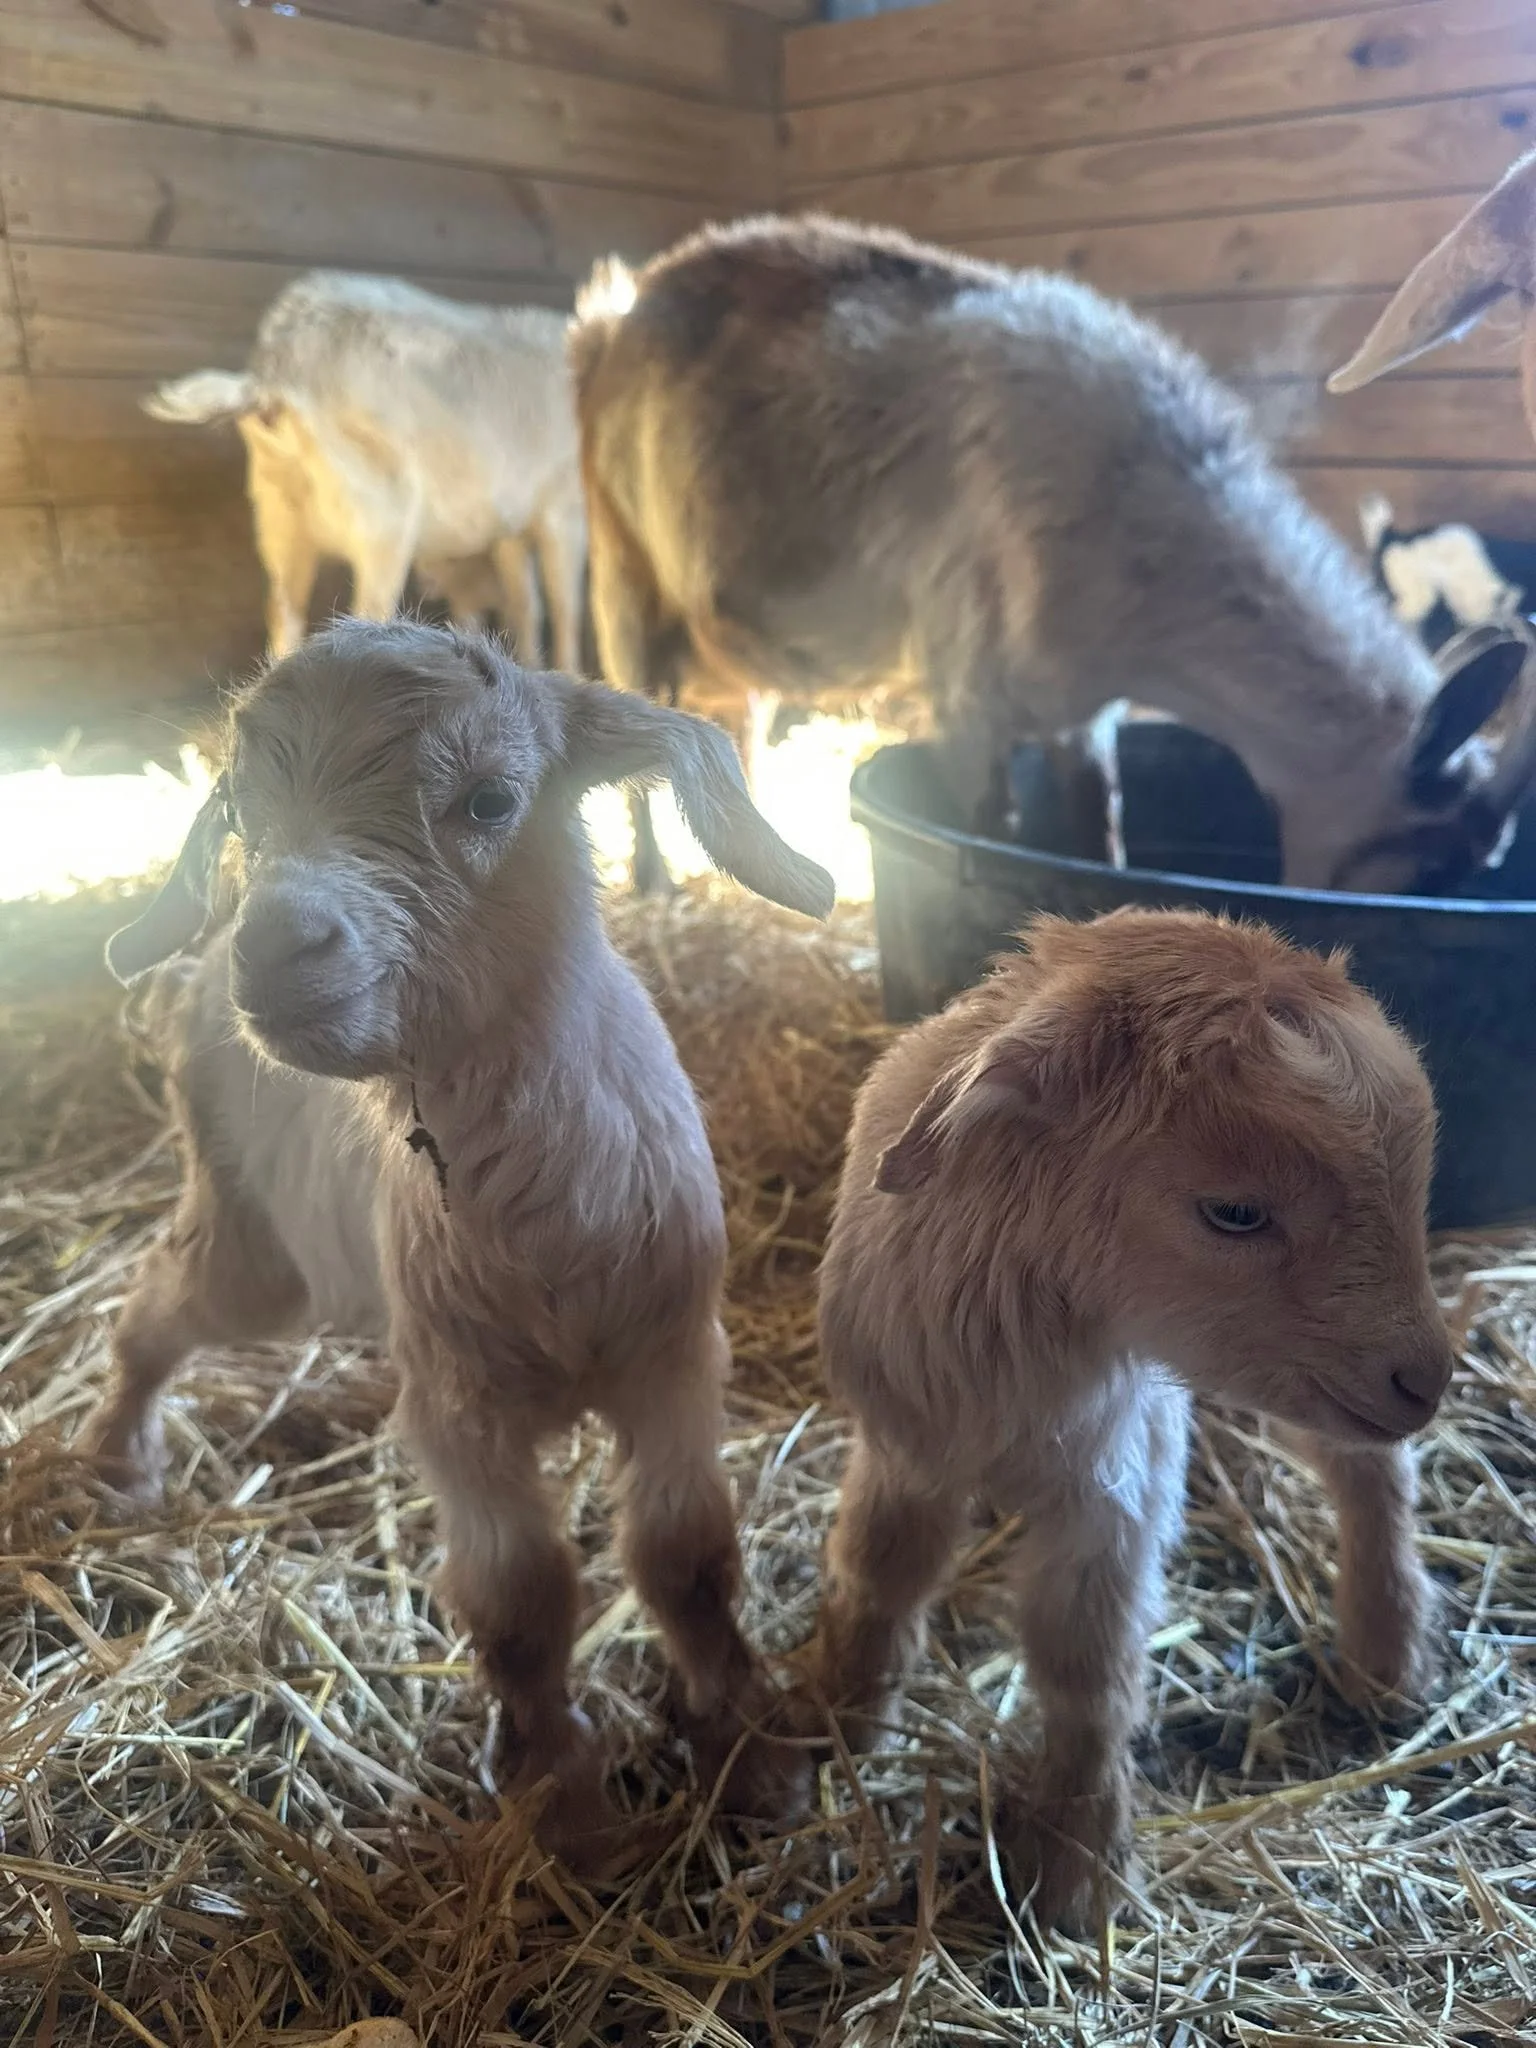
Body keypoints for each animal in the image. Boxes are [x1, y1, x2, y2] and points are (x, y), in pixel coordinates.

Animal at [91, 619, 834, 1860]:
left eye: (491, 798)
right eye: (241, 809)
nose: (278, 943)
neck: (552, 1234)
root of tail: (193, 979)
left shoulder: (673, 1355)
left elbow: (685, 1555)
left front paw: (750, 1749)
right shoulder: (462, 1403)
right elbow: (523, 1599)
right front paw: (565, 1802)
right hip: (253, 1245)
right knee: (153, 1307)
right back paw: (118, 1450)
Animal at [146, 272, 586, 670]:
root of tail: (280, 364)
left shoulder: (510, 523)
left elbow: (525, 602)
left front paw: (532, 668)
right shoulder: (563, 508)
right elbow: (564, 605)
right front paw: (570, 674)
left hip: (281, 512)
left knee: (284, 608)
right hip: (383, 514)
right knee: (367, 616)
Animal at [571, 214, 1536, 899]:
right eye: (1437, 868)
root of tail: (612, 311)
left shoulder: (1082, 712)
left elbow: (1100, 832)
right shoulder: (963, 699)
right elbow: (992, 827)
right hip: (623, 569)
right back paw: (652, 881)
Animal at [807, 908, 1453, 1932]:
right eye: (1235, 1212)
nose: (1427, 1381)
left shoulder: (1114, 1483)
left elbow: (1087, 1659)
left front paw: (1078, 1864)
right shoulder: (909, 1437)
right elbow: (881, 1565)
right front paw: (842, 1708)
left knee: (1369, 1471)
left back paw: (1389, 1647)